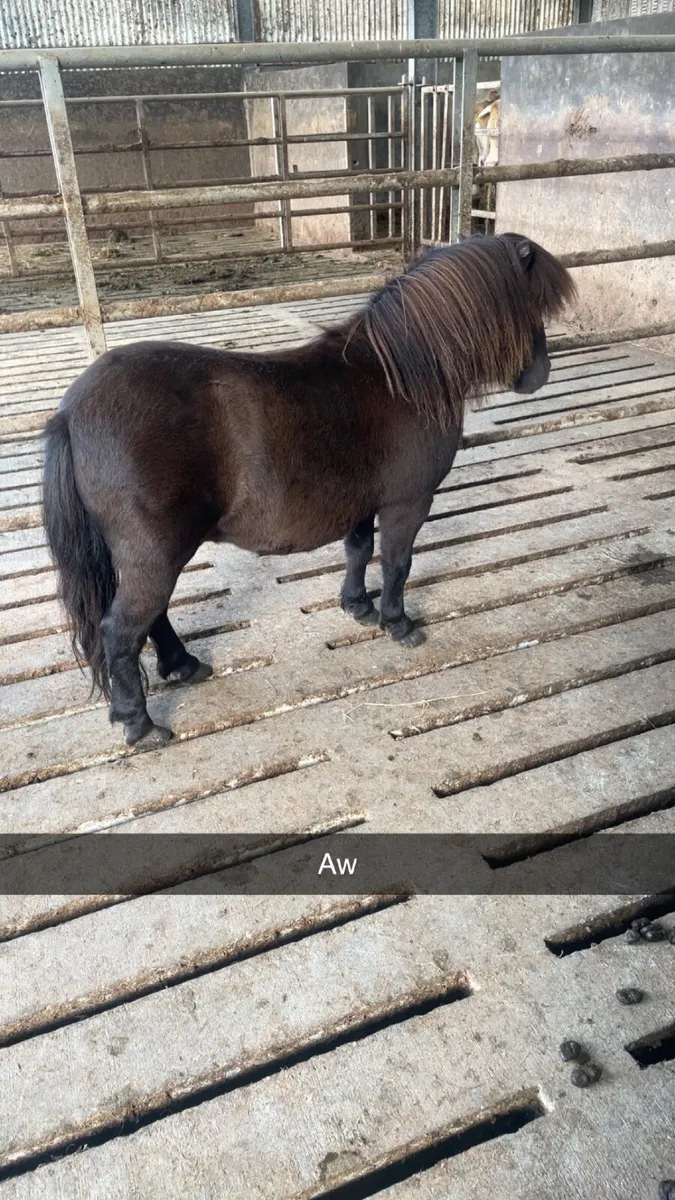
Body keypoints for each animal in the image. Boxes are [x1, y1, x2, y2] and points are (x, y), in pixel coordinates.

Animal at [43, 232, 575, 749]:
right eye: (529, 302)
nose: (540, 374)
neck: (400, 376)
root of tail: (71, 411)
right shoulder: (408, 502)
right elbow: (398, 564)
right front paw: (397, 623)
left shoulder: (362, 502)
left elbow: (359, 550)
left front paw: (358, 607)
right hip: (154, 555)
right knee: (123, 631)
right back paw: (140, 725)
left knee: (150, 619)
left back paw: (184, 667)